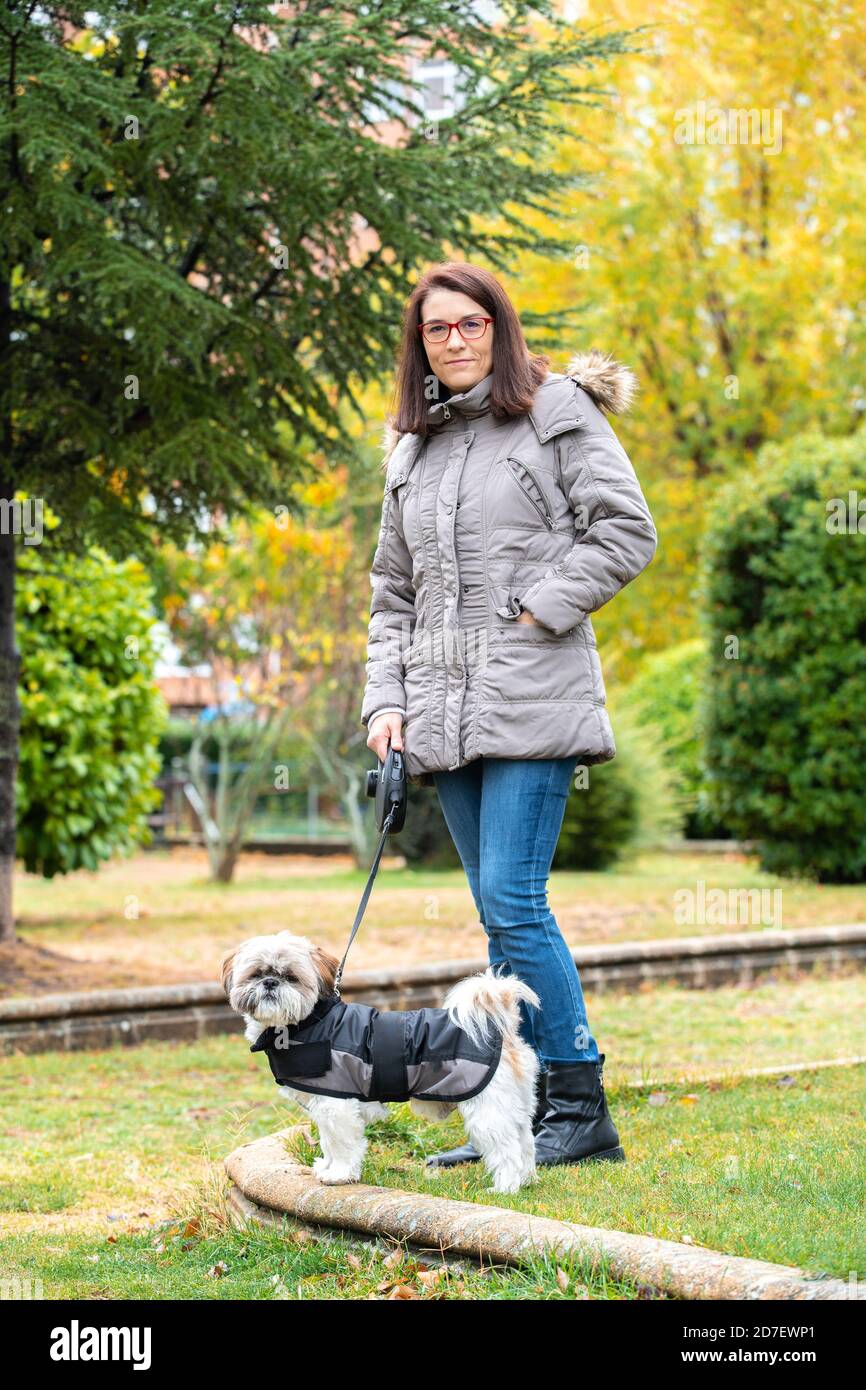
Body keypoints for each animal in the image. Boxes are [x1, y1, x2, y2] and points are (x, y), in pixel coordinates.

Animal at [219, 928, 539, 1189]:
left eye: (291, 978)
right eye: (256, 974)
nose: (270, 983)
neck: (308, 1022)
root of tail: (501, 1027)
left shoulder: (336, 1105)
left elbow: (341, 1143)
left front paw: (339, 1174)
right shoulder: (324, 1107)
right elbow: (327, 1141)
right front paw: (326, 1167)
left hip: (487, 1109)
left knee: (506, 1148)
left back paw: (505, 1187)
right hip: (515, 1104)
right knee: (525, 1140)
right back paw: (526, 1179)